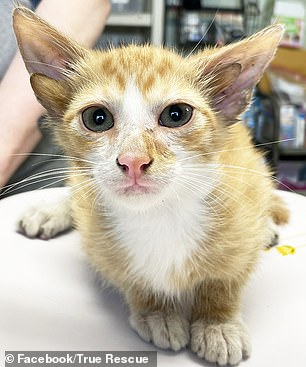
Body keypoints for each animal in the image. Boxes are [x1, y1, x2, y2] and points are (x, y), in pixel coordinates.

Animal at [13, 7, 288, 366]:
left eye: (176, 115)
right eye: (97, 118)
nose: (133, 160)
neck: (161, 214)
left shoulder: (243, 195)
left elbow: (226, 276)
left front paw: (217, 322)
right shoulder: (101, 244)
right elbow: (132, 277)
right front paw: (157, 311)